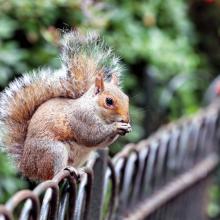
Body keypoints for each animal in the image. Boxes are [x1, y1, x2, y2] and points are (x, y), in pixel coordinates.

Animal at [0, 31, 131, 181]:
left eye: (127, 97)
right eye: (109, 101)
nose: (126, 119)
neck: (93, 107)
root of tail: (27, 167)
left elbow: (101, 143)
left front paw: (126, 127)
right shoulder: (81, 118)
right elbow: (91, 136)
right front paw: (117, 126)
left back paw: (79, 171)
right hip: (54, 151)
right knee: (53, 174)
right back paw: (67, 169)